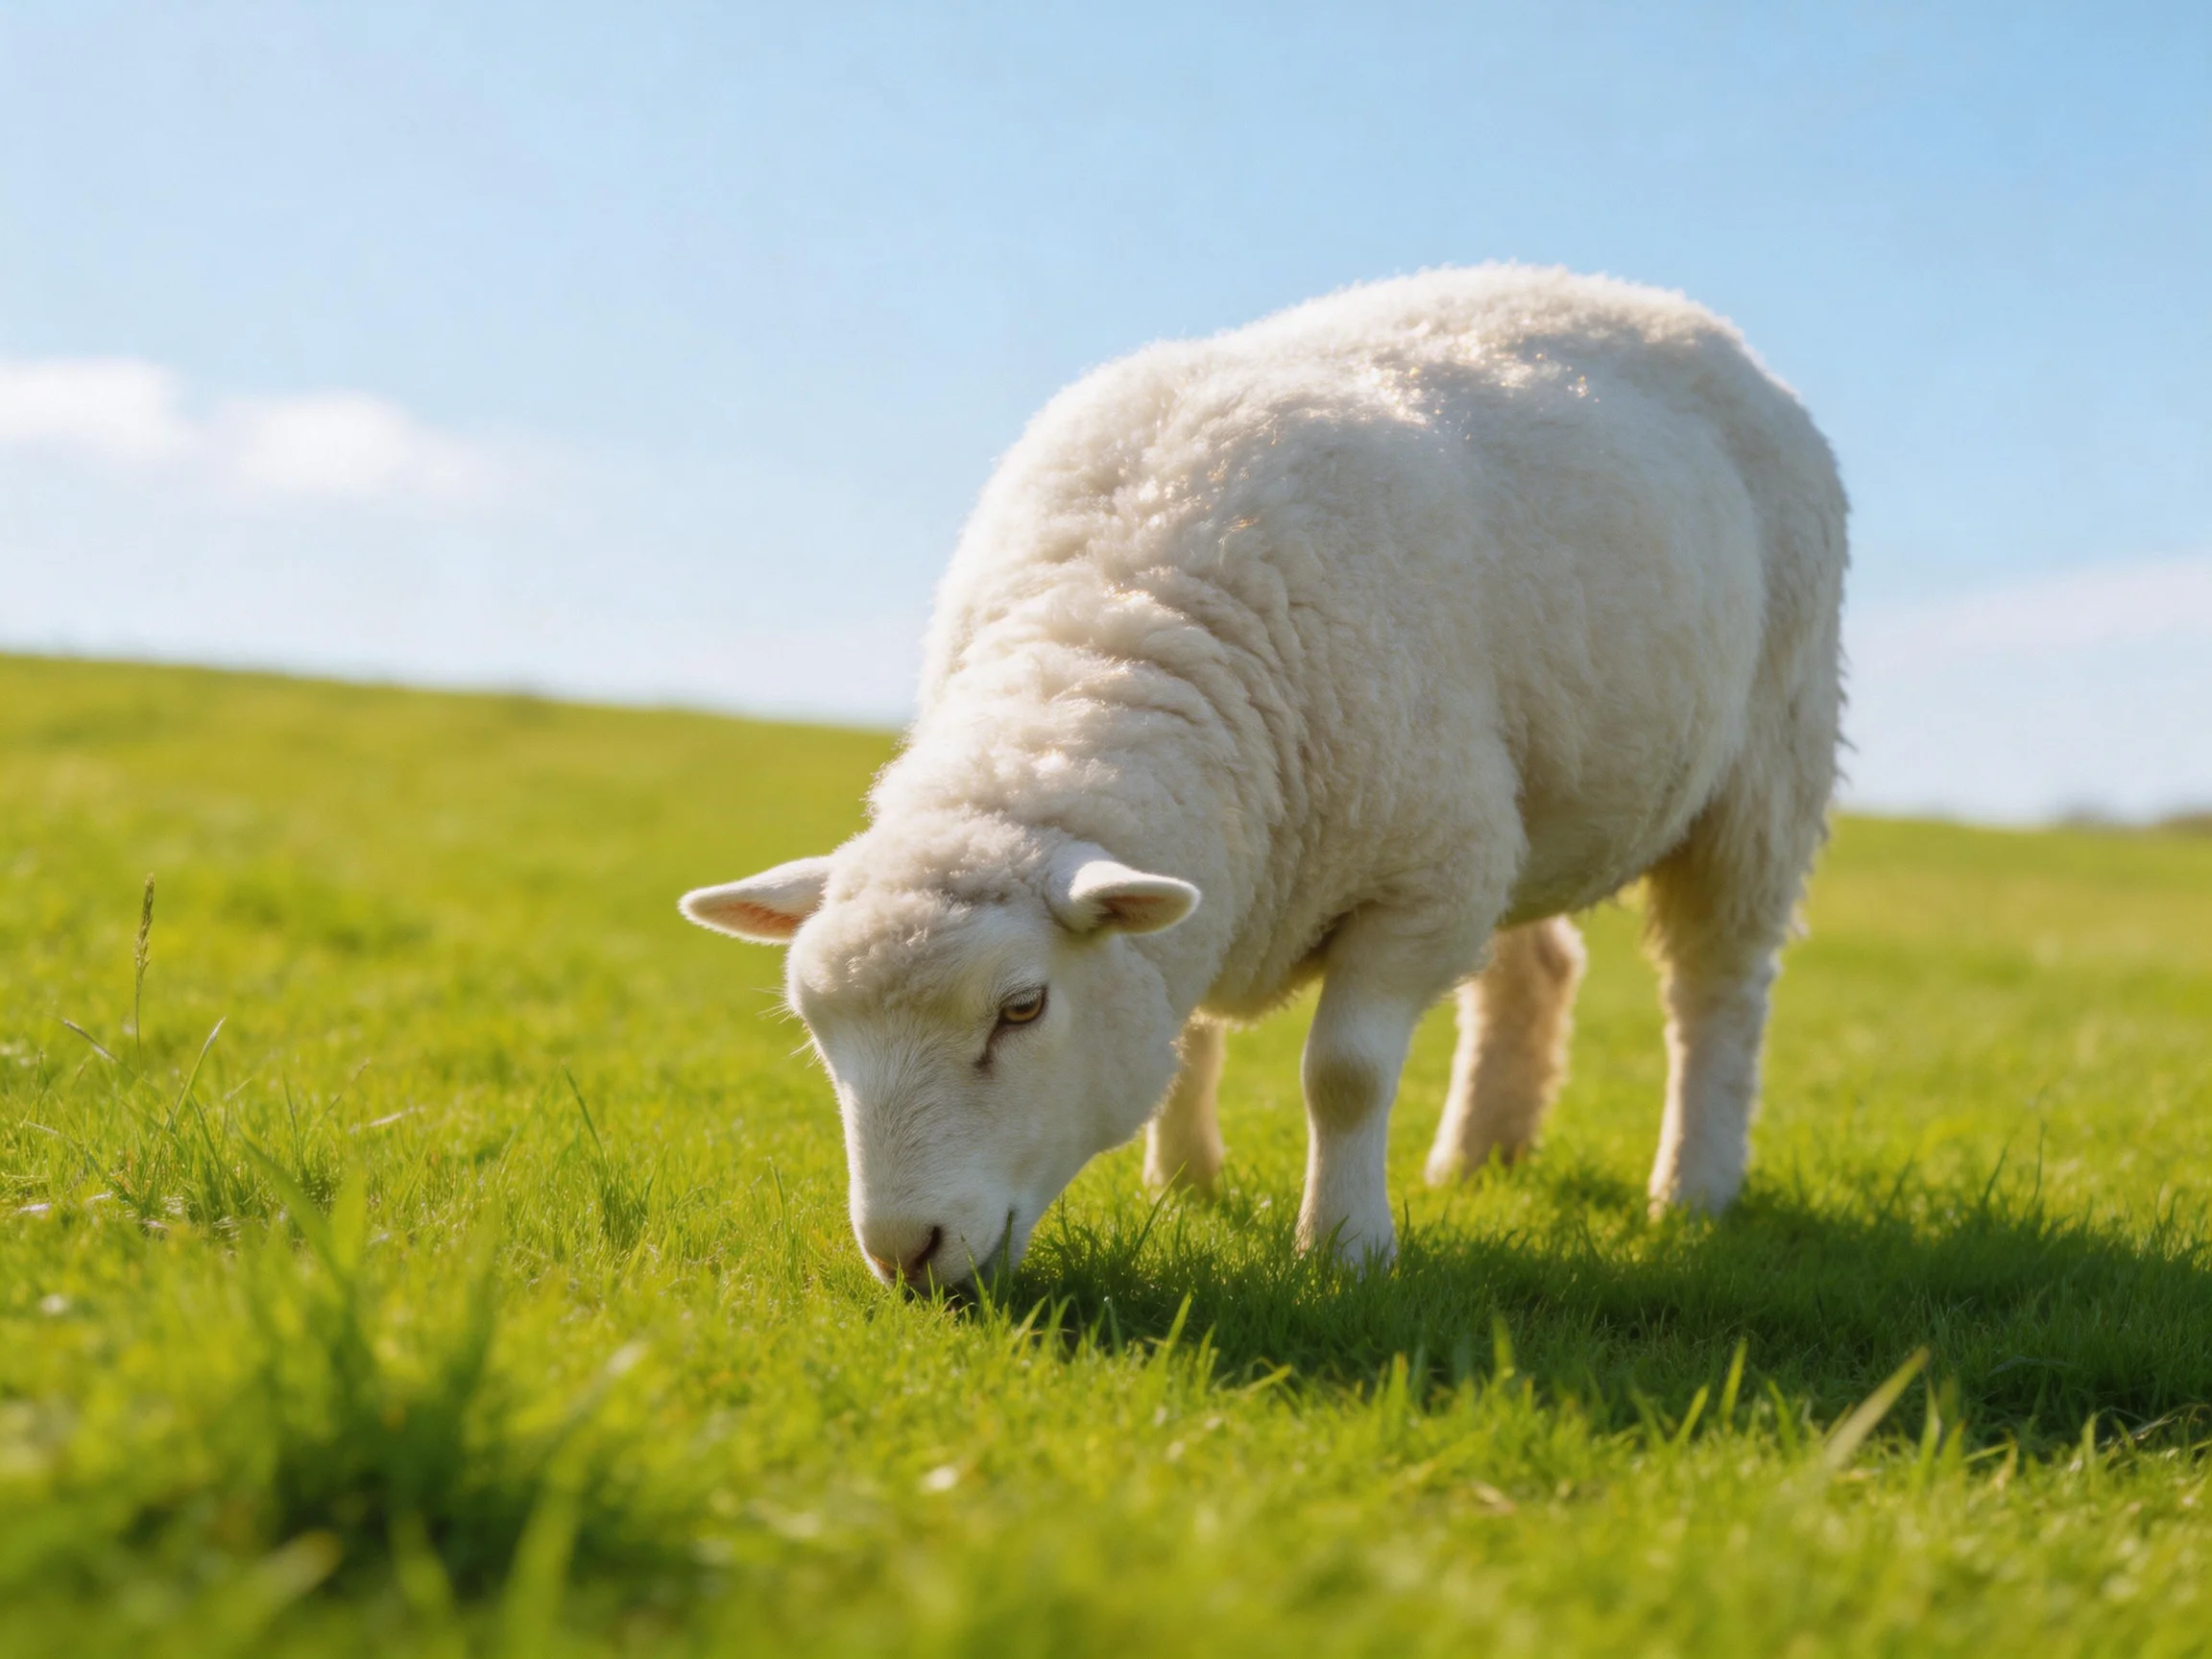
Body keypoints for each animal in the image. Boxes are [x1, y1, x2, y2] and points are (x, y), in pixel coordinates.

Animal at [681, 265, 1847, 1288]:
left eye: (1021, 1008)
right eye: (817, 1026)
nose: (904, 1254)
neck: (1115, 628)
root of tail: (1649, 298)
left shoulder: (1423, 875)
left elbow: (1345, 1076)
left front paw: (1345, 1248)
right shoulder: (1236, 869)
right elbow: (1185, 1033)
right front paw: (1182, 1187)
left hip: (1766, 765)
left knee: (1715, 989)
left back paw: (1691, 1190)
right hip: (1533, 803)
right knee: (1534, 974)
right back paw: (1479, 1158)